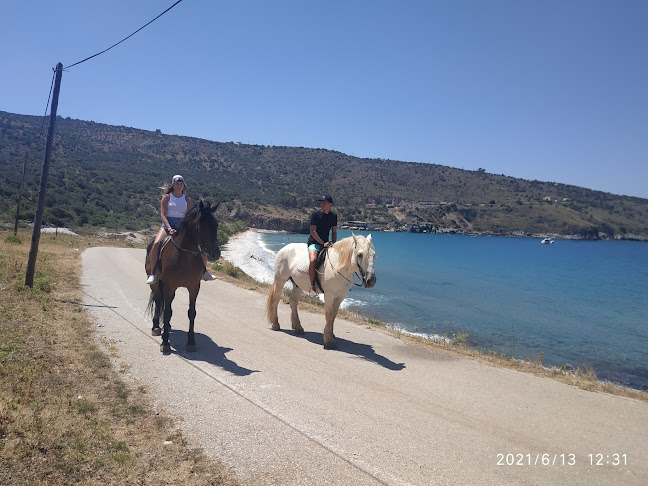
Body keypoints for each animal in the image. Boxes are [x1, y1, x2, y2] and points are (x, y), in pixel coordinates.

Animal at [145, 201, 221, 353]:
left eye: (216, 225)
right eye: (202, 225)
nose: (216, 253)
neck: (184, 255)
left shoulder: (194, 286)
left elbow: (191, 313)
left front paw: (191, 342)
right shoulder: (169, 286)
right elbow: (167, 312)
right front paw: (165, 342)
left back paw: (166, 326)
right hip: (156, 283)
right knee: (158, 300)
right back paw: (156, 327)